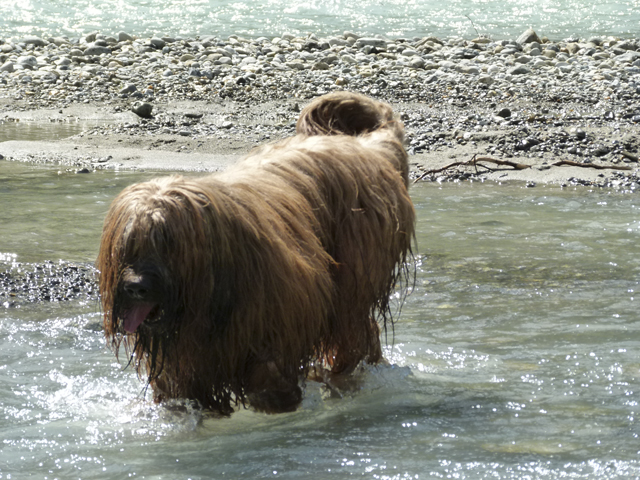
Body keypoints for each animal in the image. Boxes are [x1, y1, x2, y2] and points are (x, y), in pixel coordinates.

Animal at [95, 92, 416, 414]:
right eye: (127, 247)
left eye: (167, 243)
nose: (136, 287)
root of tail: (367, 147)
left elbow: (268, 377)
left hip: (354, 278)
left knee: (355, 331)